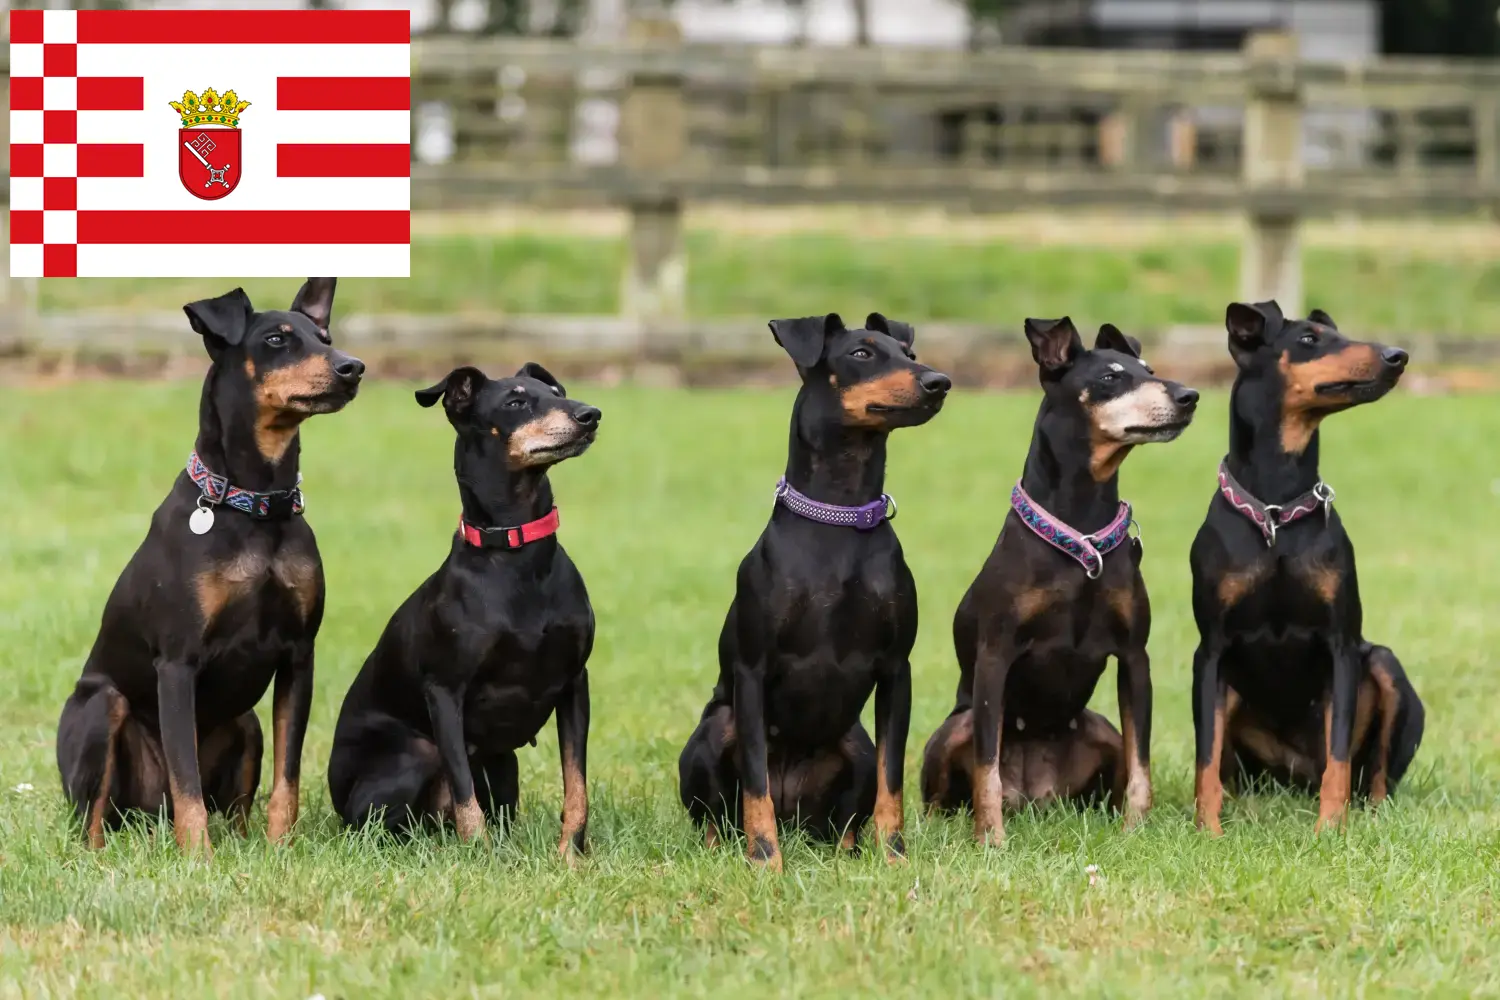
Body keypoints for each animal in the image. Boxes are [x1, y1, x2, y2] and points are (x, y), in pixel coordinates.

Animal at [59, 277, 366, 857]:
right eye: (276, 339)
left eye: (326, 337)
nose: (352, 367)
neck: (255, 505)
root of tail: (146, 815)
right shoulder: (177, 662)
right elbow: (187, 784)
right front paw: (197, 859)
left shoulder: (299, 655)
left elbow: (287, 778)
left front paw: (280, 849)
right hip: (102, 707)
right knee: (94, 814)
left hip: (246, 724)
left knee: (237, 806)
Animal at [330, 365, 603, 863]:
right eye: (516, 402)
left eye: (557, 392)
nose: (590, 414)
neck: (516, 554)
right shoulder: (444, 692)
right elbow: (463, 791)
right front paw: (481, 854)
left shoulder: (575, 683)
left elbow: (577, 785)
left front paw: (570, 855)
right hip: (413, 756)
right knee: (379, 827)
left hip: (504, 763)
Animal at [678, 310, 948, 869]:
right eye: (862, 353)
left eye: (909, 354)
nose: (940, 382)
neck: (839, 517)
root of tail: (794, 813)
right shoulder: (752, 672)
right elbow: (755, 783)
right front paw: (765, 862)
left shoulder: (897, 670)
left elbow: (892, 781)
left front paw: (894, 858)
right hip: (714, 731)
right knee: (720, 817)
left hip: (855, 745)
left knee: (844, 821)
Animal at [918, 316, 1200, 839]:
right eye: (1110, 377)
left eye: (1148, 369)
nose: (1189, 395)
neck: (1081, 534)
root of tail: (1033, 795)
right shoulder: (994, 658)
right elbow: (986, 767)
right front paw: (991, 840)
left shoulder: (1135, 658)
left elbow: (1142, 762)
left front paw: (1135, 831)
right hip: (955, 728)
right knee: (946, 793)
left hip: (1100, 730)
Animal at [1188, 301, 1422, 833]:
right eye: (1310, 339)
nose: (1396, 356)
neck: (1276, 511)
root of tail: (1297, 774)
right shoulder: (1210, 652)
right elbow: (1205, 757)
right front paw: (1207, 830)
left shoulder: (1341, 647)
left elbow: (1339, 755)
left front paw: (1330, 829)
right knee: (1230, 771)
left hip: (1384, 666)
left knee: (1374, 775)